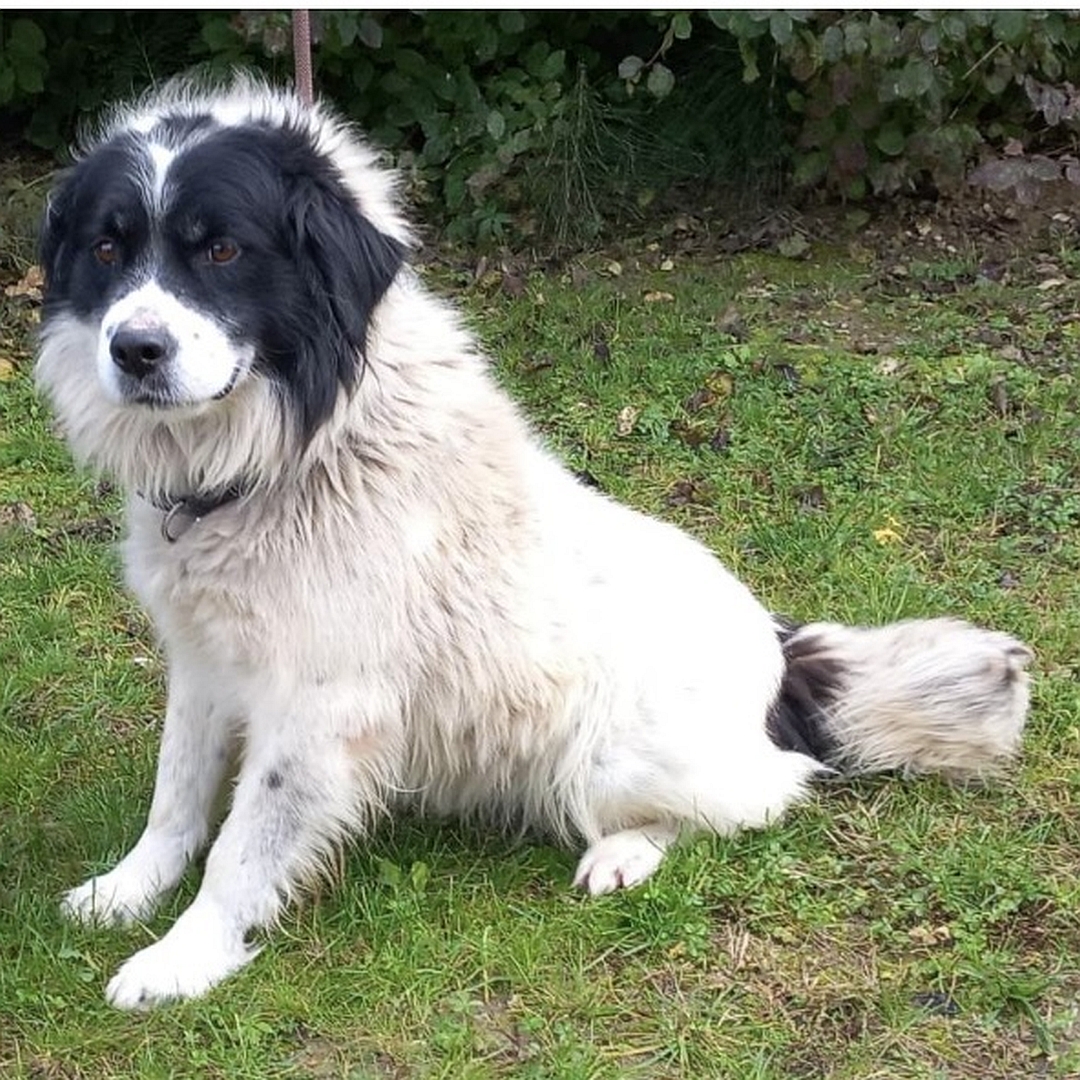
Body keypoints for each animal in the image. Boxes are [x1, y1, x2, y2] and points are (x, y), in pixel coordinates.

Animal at [38, 78, 1032, 1010]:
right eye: (107, 249)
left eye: (221, 250)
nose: (135, 349)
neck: (292, 452)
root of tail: (783, 656)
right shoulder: (205, 660)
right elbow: (177, 795)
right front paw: (128, 890)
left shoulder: (320, 705)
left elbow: (243, 847)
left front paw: (183, 958)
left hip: (605, 751)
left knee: (766, 790)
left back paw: (626, 854)